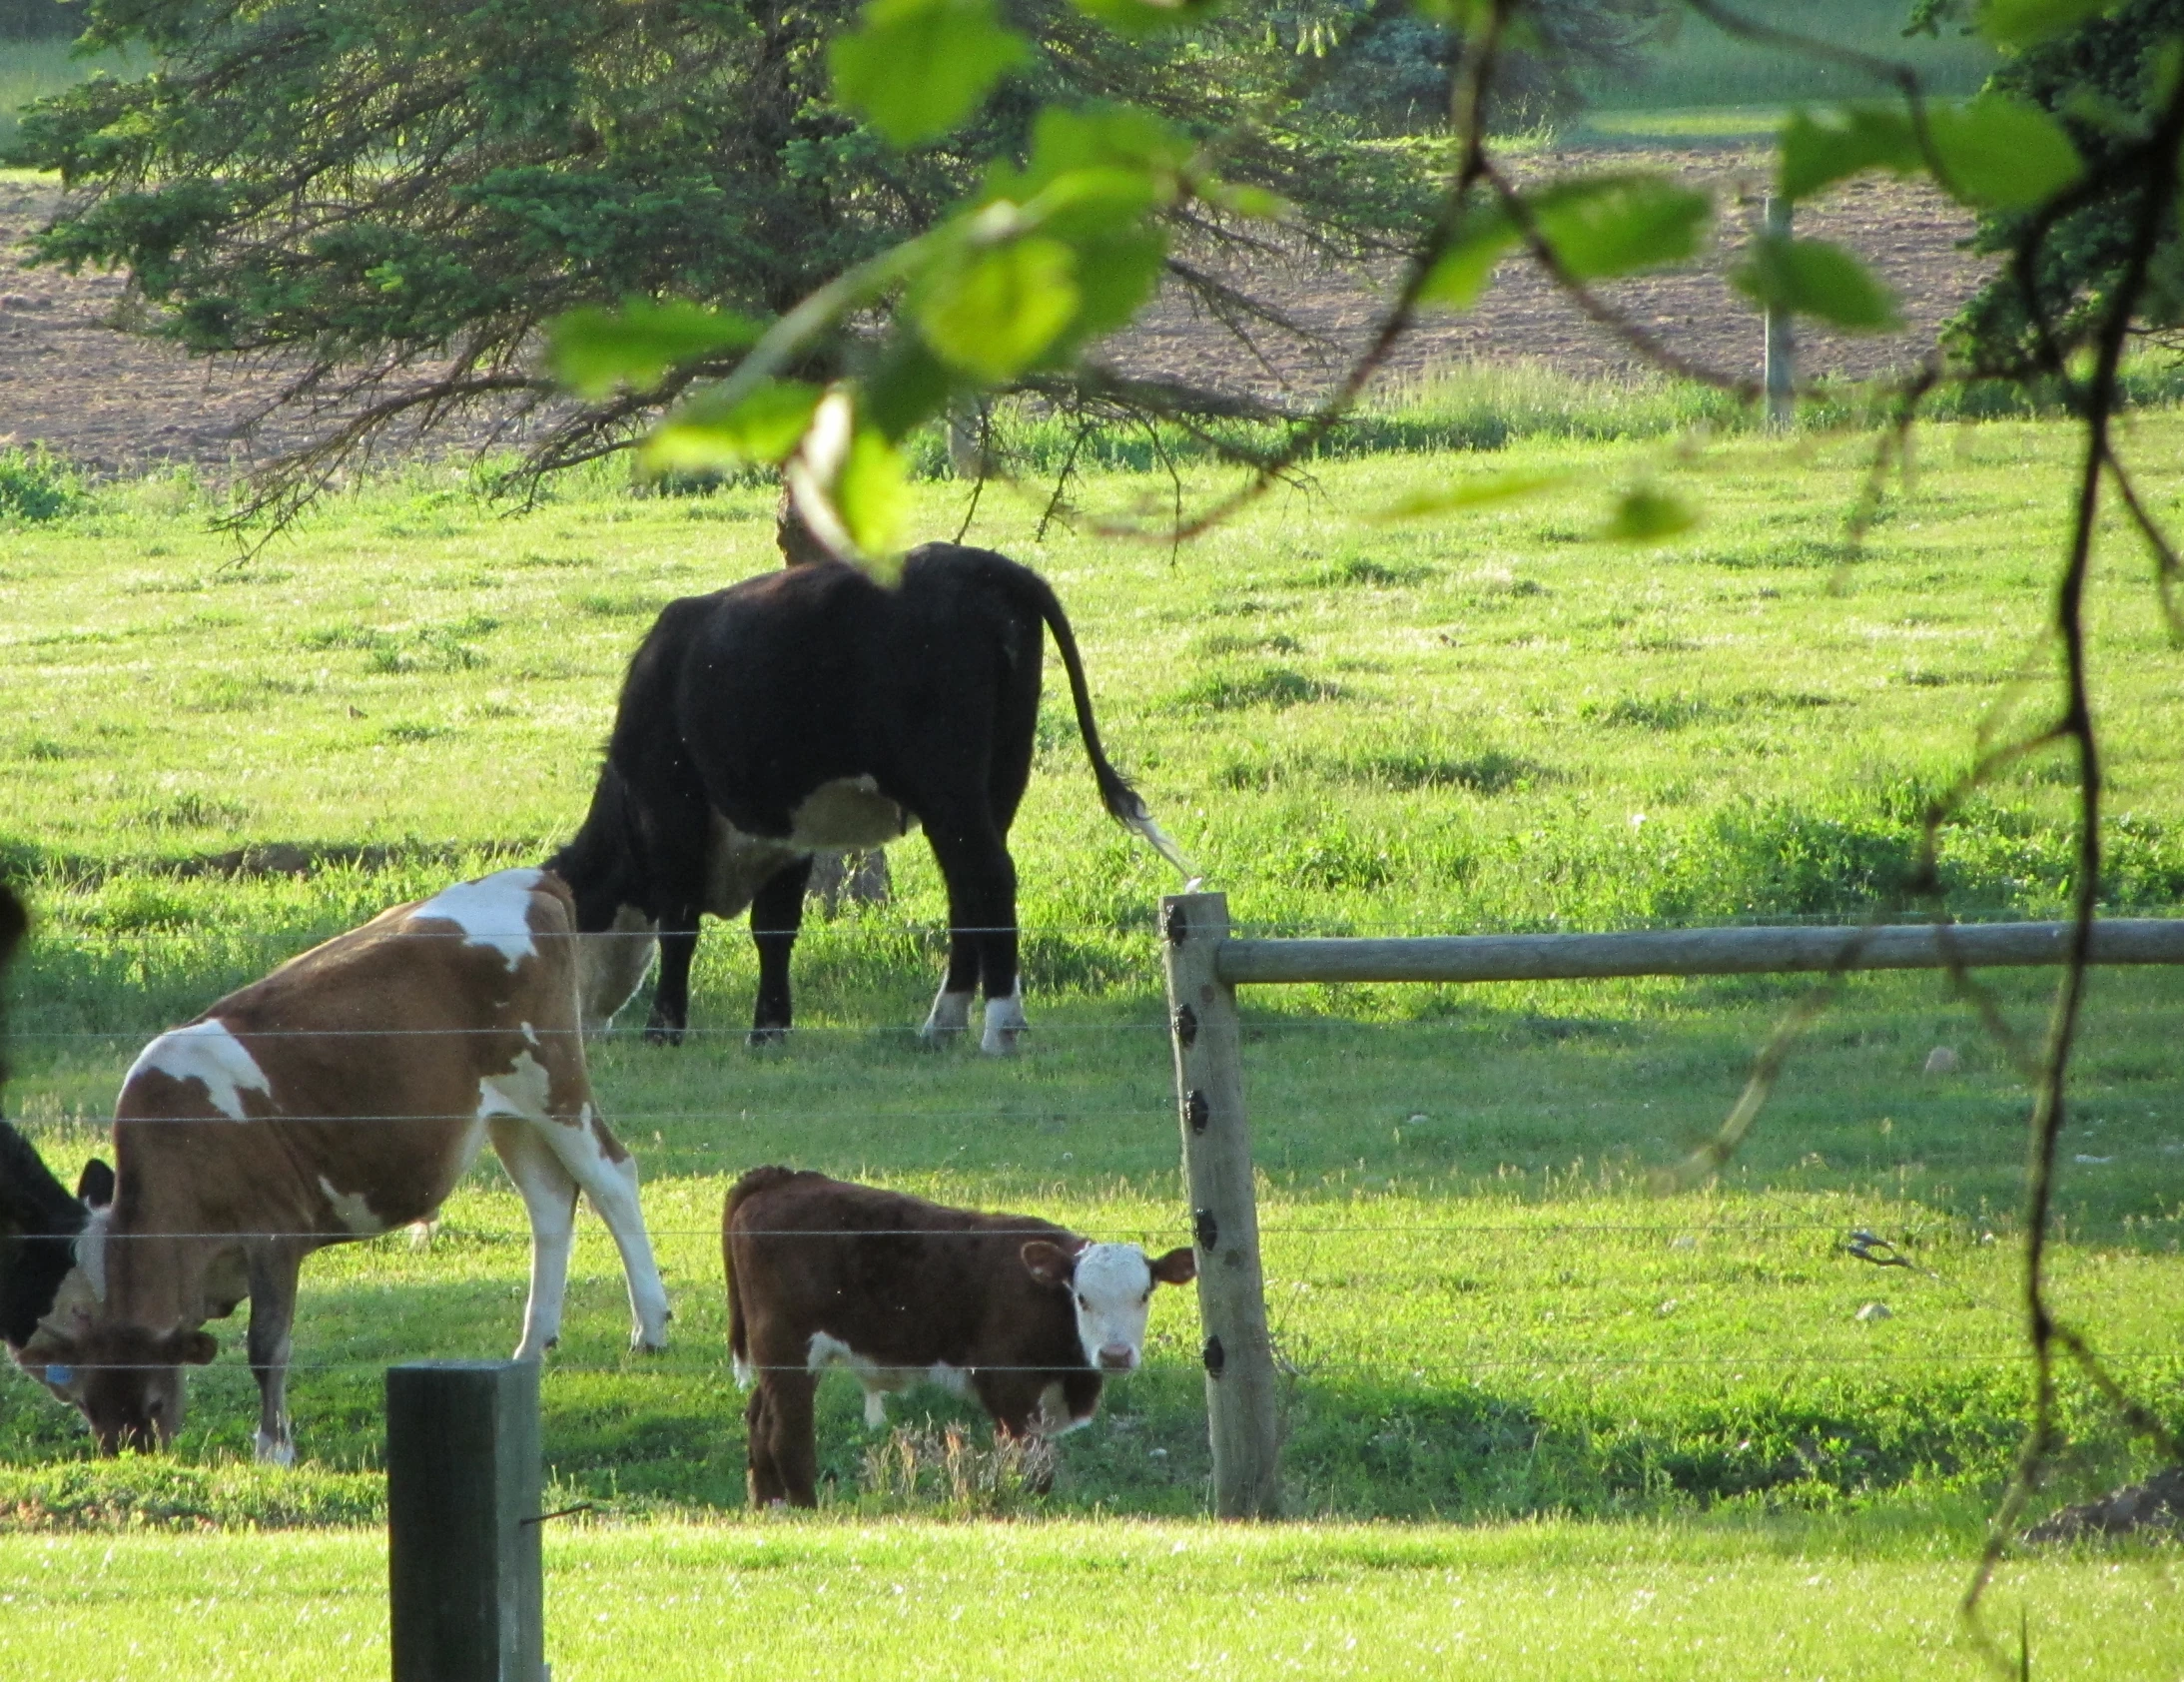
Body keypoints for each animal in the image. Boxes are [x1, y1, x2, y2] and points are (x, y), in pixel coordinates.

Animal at [12, 865, 668, 1450]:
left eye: (146, 1396)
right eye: (77, 1398)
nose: (130, 1447)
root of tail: (528, 878)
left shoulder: (273, 1234)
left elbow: (267, 1348)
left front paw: (273, 1449)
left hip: (553, 1085)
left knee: (612, 1178)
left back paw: (651, 1327)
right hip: (509, 1115)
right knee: (551, 1203)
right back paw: (532, 1346)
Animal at [554, 541, 1187, 1048]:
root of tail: (981, 563)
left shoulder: (670, 808)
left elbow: (680, 926)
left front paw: (663, 1031)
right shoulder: (787, 829)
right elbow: (774, 930)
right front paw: (770, 1030)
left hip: (946, 781)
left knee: (988, 877)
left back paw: (1000, 1027)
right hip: (999, 775)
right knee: (966, 889)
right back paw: (942, 1024)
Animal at [725, 1171, 1187, 1502]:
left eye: (1144, 1294)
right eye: (1082, 1297)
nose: (1115, 1355)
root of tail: (784, 1177)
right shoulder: (1008, 1389)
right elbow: (1033, 1468)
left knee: (760, 1421)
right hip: (788, 1350)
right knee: (788, 1435)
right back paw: (808, 1510)